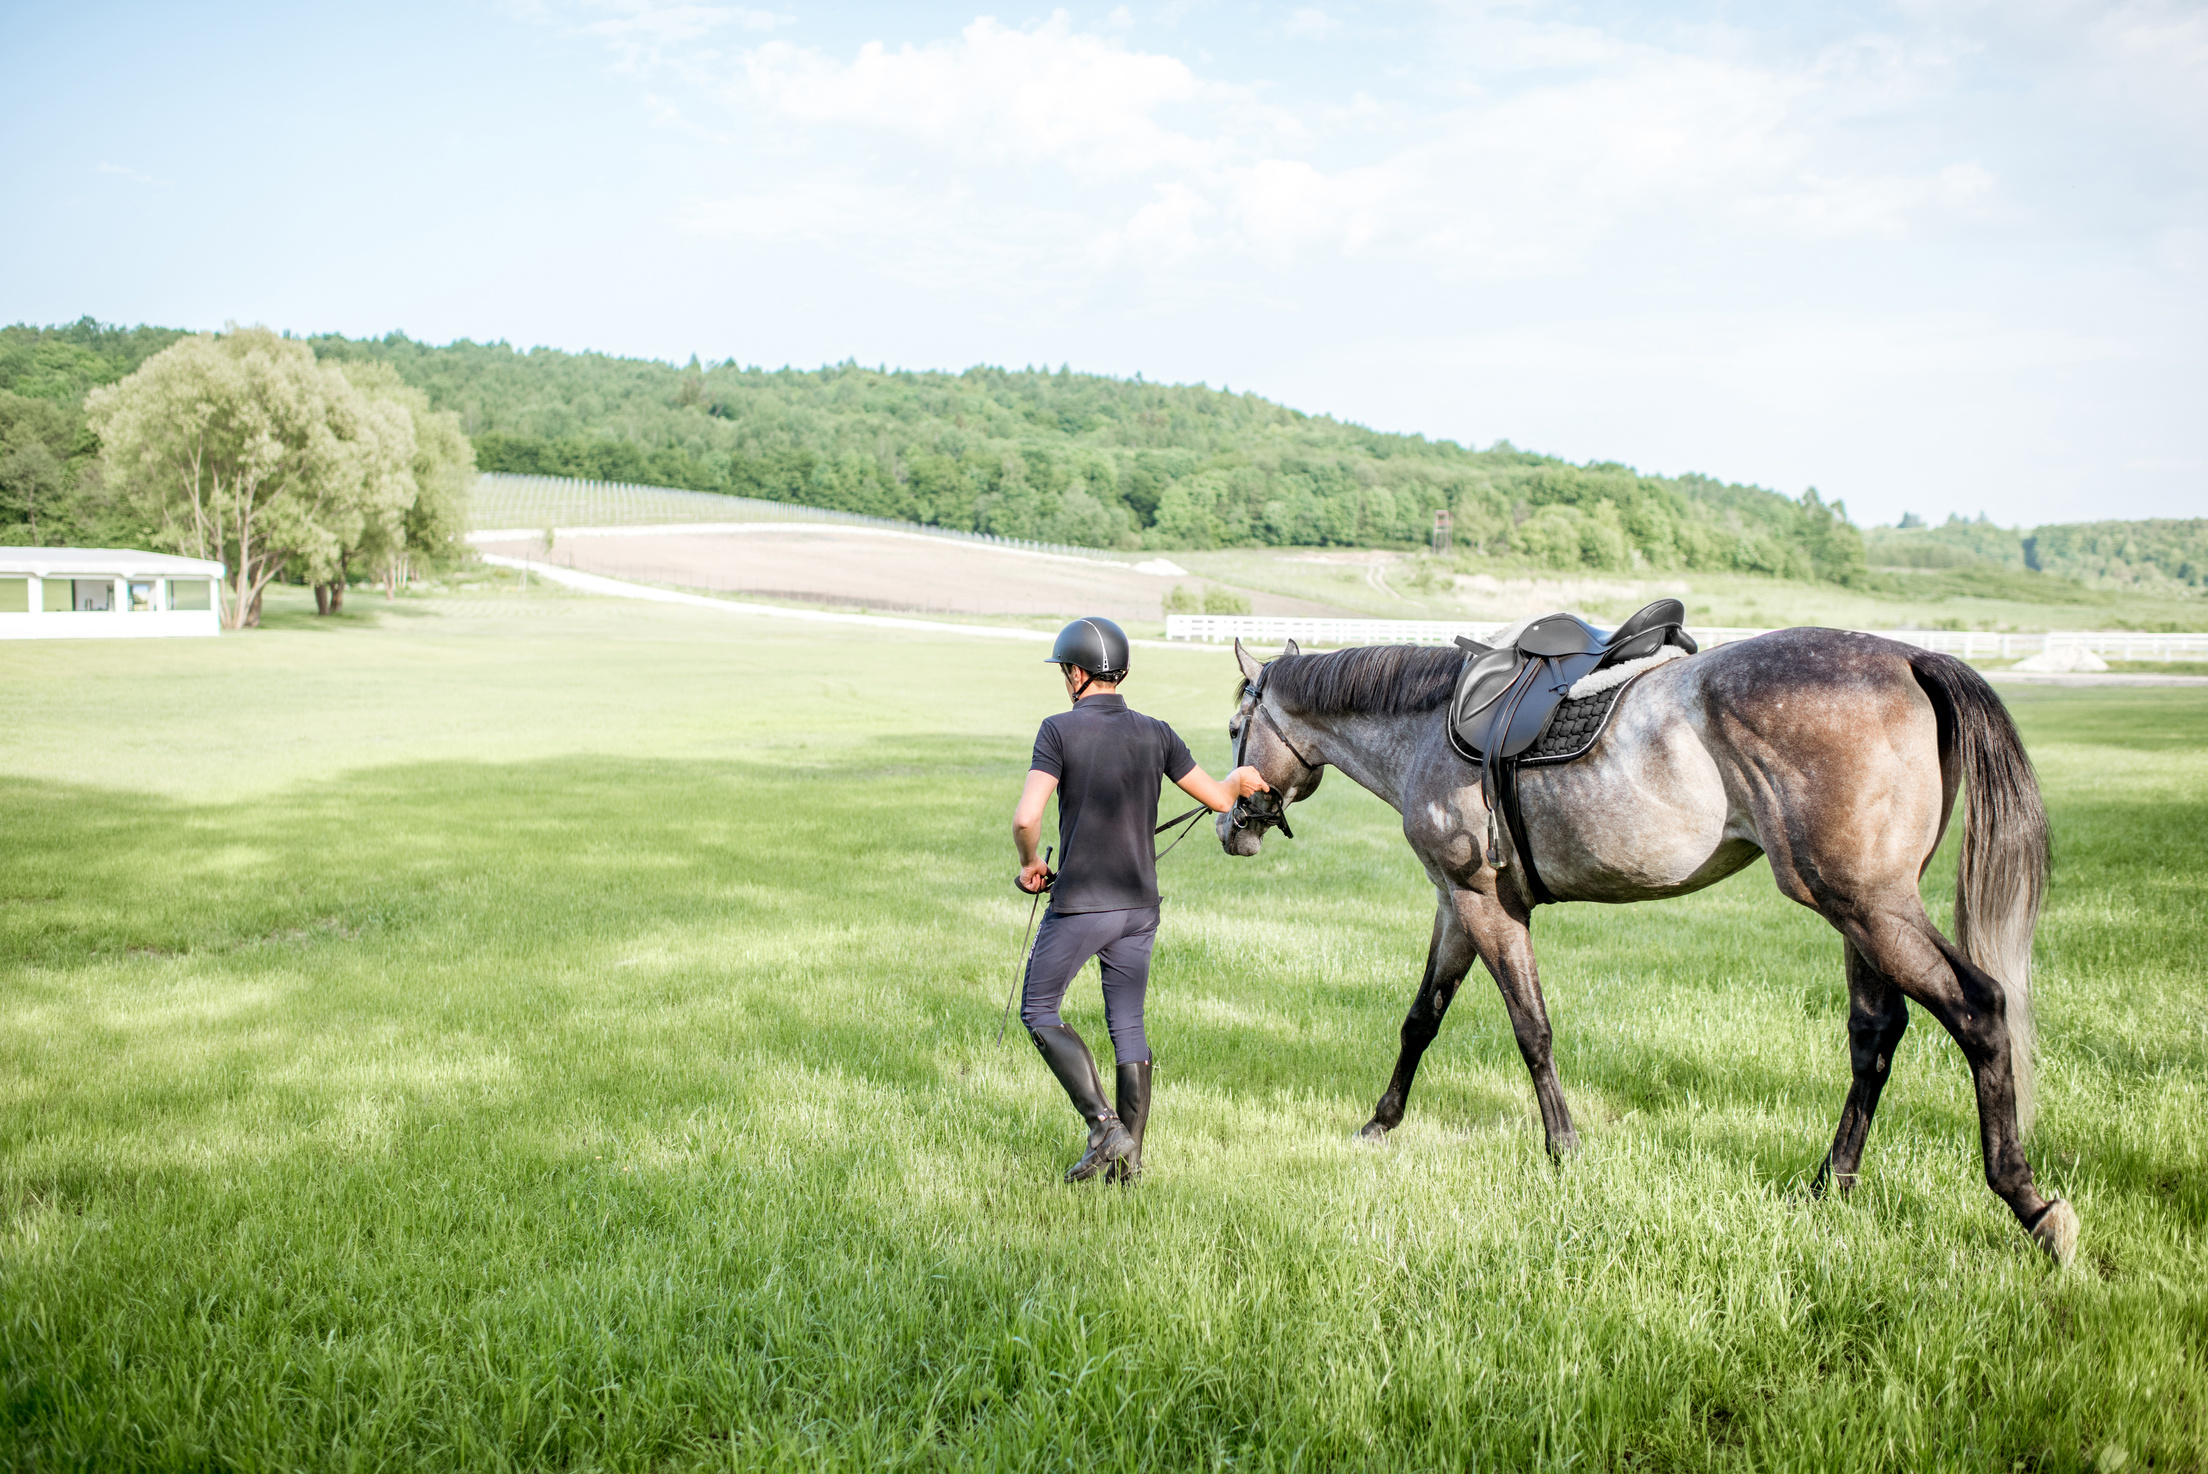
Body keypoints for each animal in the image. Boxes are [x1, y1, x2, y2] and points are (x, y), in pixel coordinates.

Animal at [1218, 626, 2075, 1262]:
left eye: (1233, 729)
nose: (1232, 827)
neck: (1431, 726)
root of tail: (1911, 657)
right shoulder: (1457, 906)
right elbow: (1421, 1019)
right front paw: (1380, 1123)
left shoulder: (1486, 906)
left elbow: (1531, 1030)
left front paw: (1563, 1149)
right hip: (1860, 911)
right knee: (1875, 1036)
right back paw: (1830, 1183)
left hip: (1869, 908)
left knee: (1979, 1010)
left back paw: (2029, 1204)